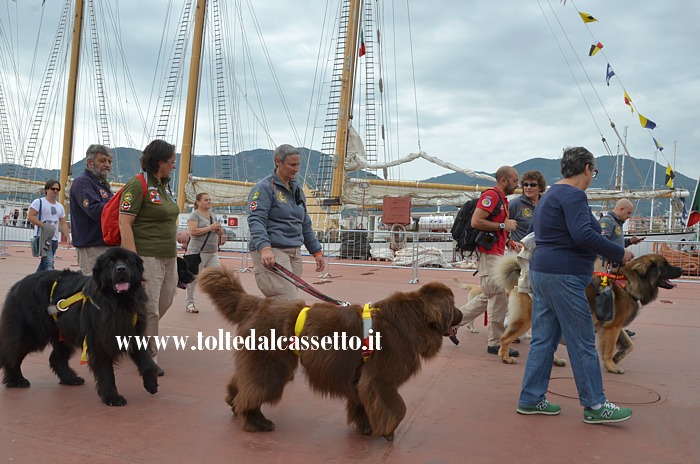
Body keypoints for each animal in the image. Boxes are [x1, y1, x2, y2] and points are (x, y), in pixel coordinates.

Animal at [197, 266, 462, 440]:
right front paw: (387, 431)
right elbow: (397, 407)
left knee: (242, 384)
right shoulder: (380, 380)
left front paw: (366, 426)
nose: (461, 315)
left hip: (260, 362)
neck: (409, 321)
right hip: (271, 366)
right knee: (253, 392)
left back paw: (234, 404)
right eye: (453, 305)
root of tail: (255, 303)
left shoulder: (361, 379)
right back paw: (257, 422)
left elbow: (363, 402)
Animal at [492, 252, 684, 376]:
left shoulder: (614, 325)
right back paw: (505, 357)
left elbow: (629, 345)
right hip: (526, 319)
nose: (682, 270)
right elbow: (609, 349)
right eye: (665, 265)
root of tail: (522, 276)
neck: (629, 282)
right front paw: (612, 366)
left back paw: (554, 360)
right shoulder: (612, 328)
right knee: (505, 338)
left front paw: (617, 357)